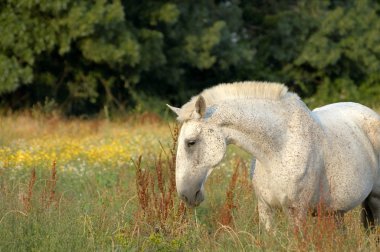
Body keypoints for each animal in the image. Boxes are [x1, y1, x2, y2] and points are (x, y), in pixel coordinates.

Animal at [168, 81, 380, 231]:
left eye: (191, 142)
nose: (186, 195)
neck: (278, 149)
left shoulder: (297, 213)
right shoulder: (265, 209)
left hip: (375, 200)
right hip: (336, 212)